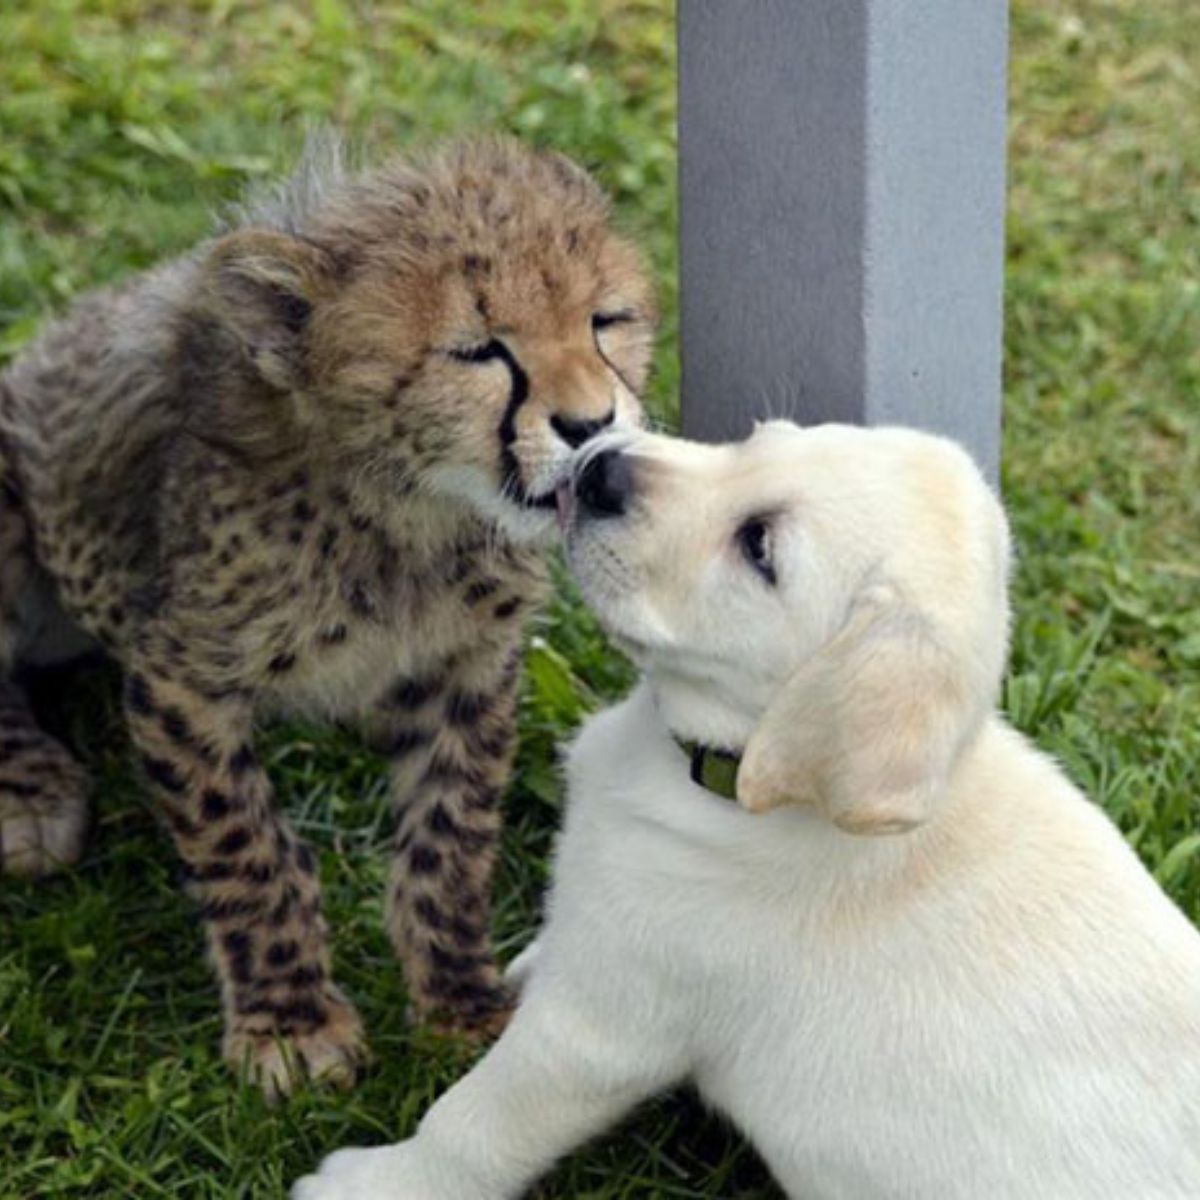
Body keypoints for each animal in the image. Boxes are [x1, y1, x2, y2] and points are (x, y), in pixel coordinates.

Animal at [292, 422, 1200, 1200]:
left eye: (758, 548)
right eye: (763, 437)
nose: (601, 466)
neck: (728, 781)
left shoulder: (600, 1029)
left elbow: (476, 1122)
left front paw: (372, 1183)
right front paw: (531, 956)